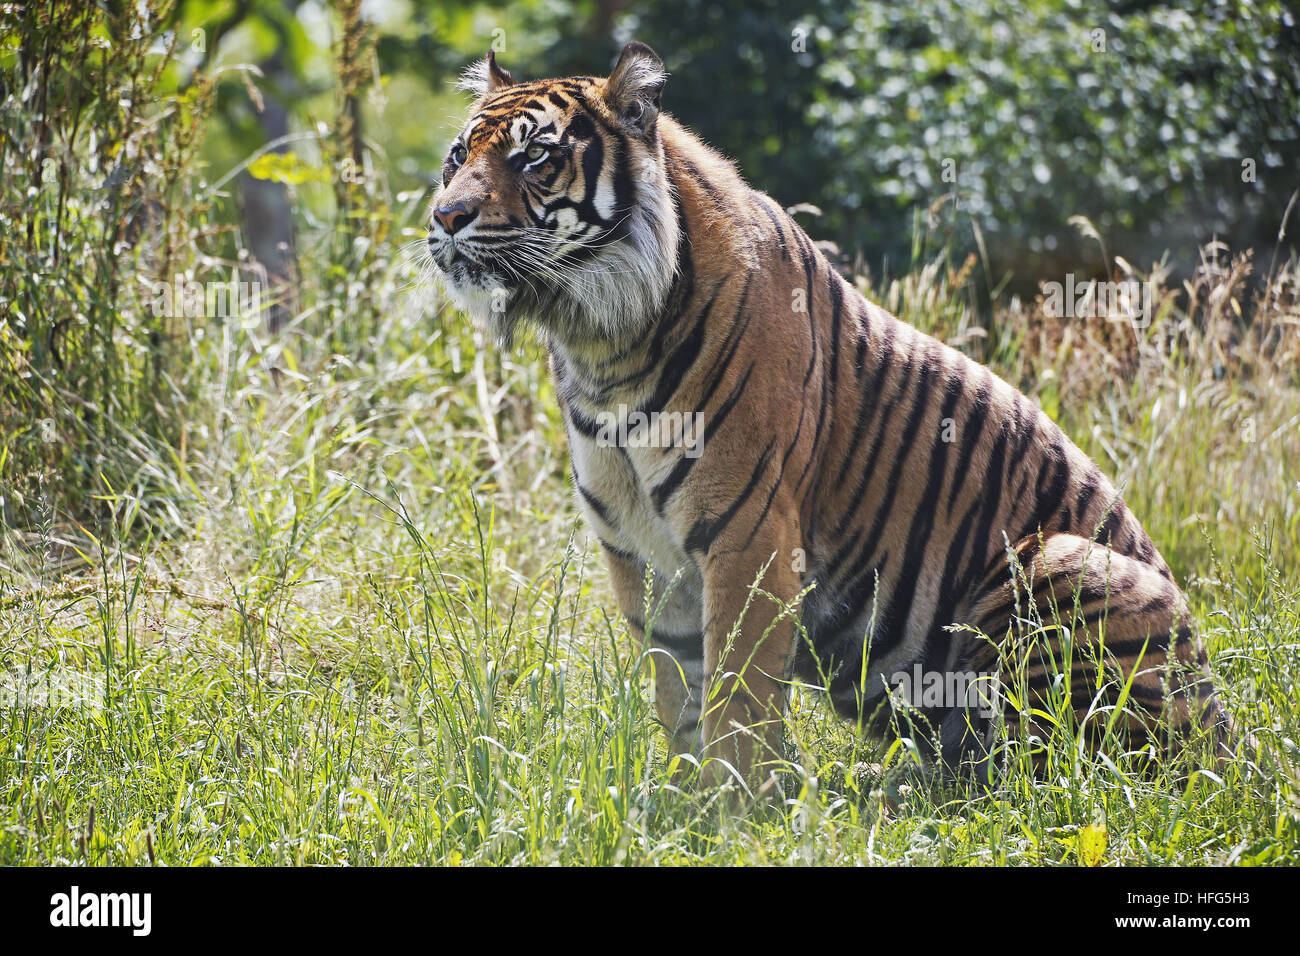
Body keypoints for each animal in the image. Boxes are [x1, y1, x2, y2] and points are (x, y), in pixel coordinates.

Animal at [428, 41, 1237, 790]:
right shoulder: (638, 551)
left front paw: (737, 809)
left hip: (1058, 562)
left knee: (1061, 767)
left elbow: (737, 693)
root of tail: (1236, 744)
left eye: (534, 155)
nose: (445, 216)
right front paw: (685, 803)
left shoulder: (748, 534)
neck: (602, 344)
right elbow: (677, 690)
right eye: (458, 155)